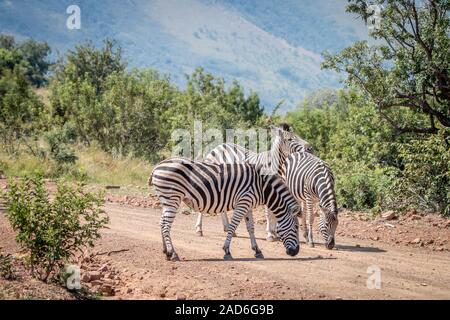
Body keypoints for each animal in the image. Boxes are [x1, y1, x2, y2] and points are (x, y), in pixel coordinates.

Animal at [149, 156, 300, 262]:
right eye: (296, 228)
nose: (296, 252)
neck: (261, 186)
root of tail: (158, 166)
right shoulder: (243, 203)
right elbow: (233, 227)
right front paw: (227, 251)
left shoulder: (248, 205)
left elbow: (250, 227)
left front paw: (257, 250)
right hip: (172, 198)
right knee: (166, 225)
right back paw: (173, 253)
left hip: (167, 200)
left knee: (161, 223)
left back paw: (166, 252)